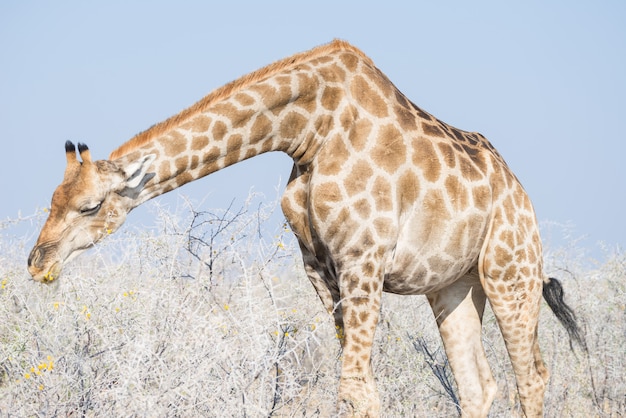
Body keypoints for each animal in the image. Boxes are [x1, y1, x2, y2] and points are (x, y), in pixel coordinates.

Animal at [28, 40, 584, 418]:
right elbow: (358, 385)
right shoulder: (320, 267)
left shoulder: (363, 258)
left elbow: (354, 385)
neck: (308, 131)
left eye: (90, 206)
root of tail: (520, 194)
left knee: (532, 375)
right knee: (478, 384)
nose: (37, 264)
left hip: (510, 270)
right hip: (453, 286)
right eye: (52, 200)